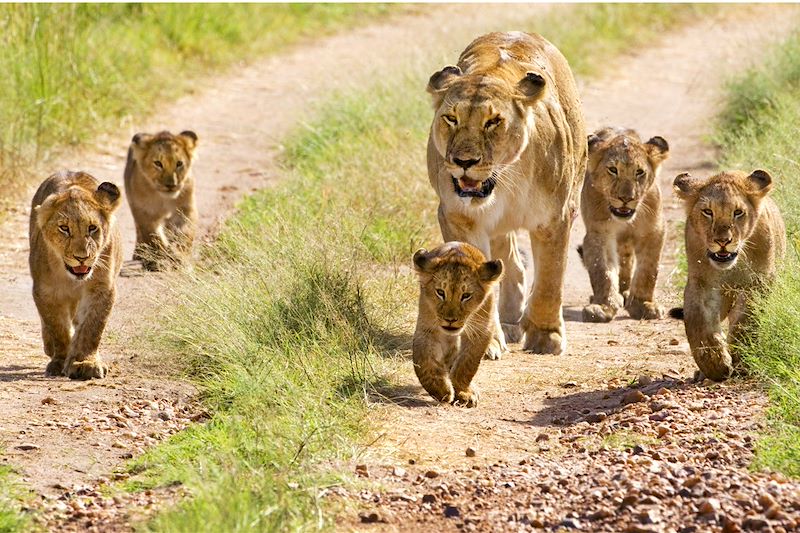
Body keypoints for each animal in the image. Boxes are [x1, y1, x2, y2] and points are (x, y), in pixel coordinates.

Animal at [424, 33, 588, 358]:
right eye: (451, 118)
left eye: (493, 122)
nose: (464, 161)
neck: (505, 180)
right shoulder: (458, 217)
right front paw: (484, 342)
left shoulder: (555, 218)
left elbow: (551, 279)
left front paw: (546, 337)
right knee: (511, 261)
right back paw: (511, 319)